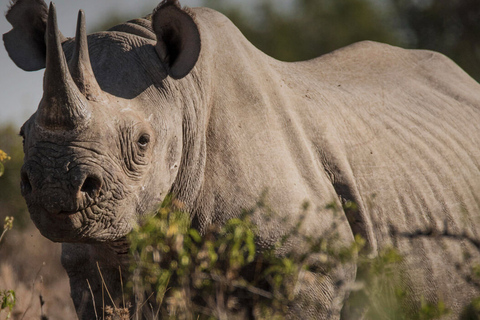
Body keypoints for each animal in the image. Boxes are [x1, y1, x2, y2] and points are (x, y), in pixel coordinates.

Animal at [3, 0, 480, 318]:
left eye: (142, 141)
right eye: (24, 133)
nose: (55, 185)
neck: (186, 100)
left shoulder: (310, 266)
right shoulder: (94, 267)